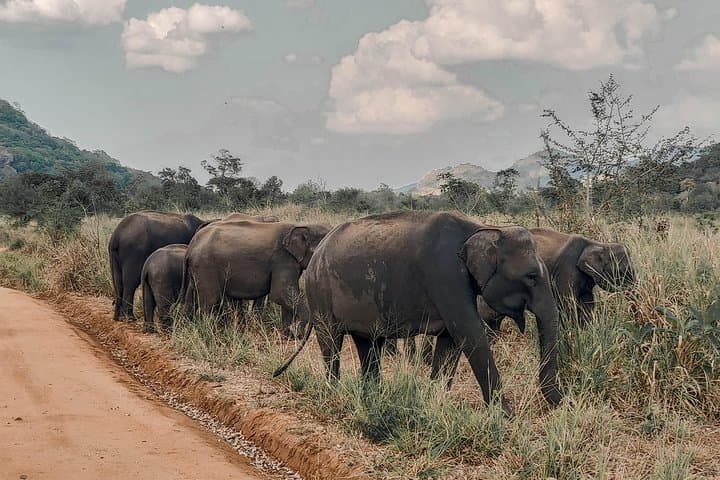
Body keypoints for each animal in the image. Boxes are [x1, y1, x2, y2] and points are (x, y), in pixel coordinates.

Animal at [182, 220, 330, 333]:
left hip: (196, 270)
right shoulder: (282, 259)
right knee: (210, 301)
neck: (303, 225)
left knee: (191, 297)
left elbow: (286, 297)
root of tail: (191, 246)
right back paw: (209, 333)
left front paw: (290, 334)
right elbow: (280, 293)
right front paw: (298, 332)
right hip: (206, 266)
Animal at [273, 211, 562, 409]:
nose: (558, 403)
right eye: (531, 276)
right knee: (331, 341)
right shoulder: (445, 275)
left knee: (368, 344)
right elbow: (469, 334)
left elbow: (450, 342)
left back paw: (372, 397)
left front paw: (435, 401)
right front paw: (504, 417)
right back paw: (335, 392)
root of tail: (317, 253)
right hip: (320, 293)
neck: (481, 228)